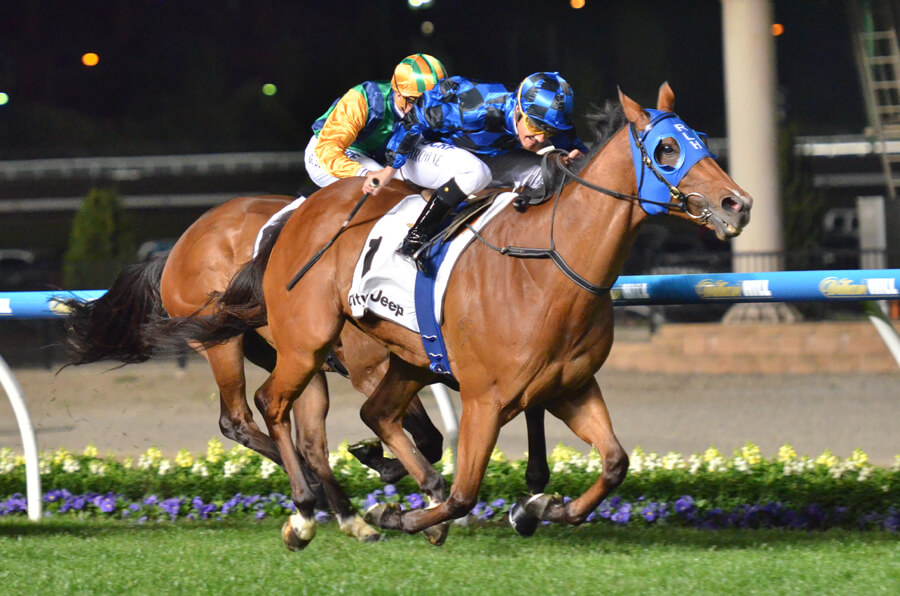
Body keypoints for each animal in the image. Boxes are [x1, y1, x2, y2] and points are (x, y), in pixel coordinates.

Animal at [153, 81, 752, 548]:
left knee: (374, 415)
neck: (547, 263)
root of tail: (294, 218)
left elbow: (613, 464)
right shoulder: (486, 397)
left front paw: (536, 508)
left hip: (402, 357)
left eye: (700, 141)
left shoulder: (570, 387)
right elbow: (466, 494)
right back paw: (309, 512)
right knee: (269, 408)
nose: (738, 204)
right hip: (303, 344)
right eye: (667, 148)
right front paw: (398, 513)